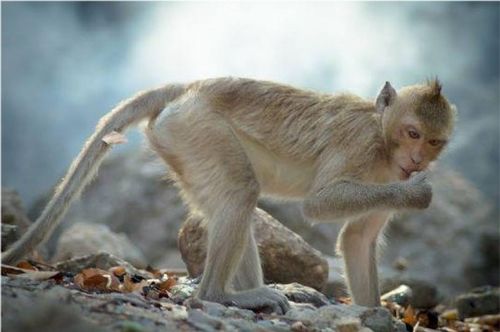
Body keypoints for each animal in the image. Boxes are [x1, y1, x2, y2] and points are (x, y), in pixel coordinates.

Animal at [1, 76, 456, 312]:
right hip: (199, 128)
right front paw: (417, 194)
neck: (383, 141)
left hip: (181, 144)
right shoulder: (358, 145)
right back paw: (219, 296)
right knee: (240, 193)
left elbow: (358, 239)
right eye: (412, 133)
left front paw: (373, 313)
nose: (417, 160)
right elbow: (319, 203)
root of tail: (189, 87)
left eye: (434, 141)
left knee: (231, 202)